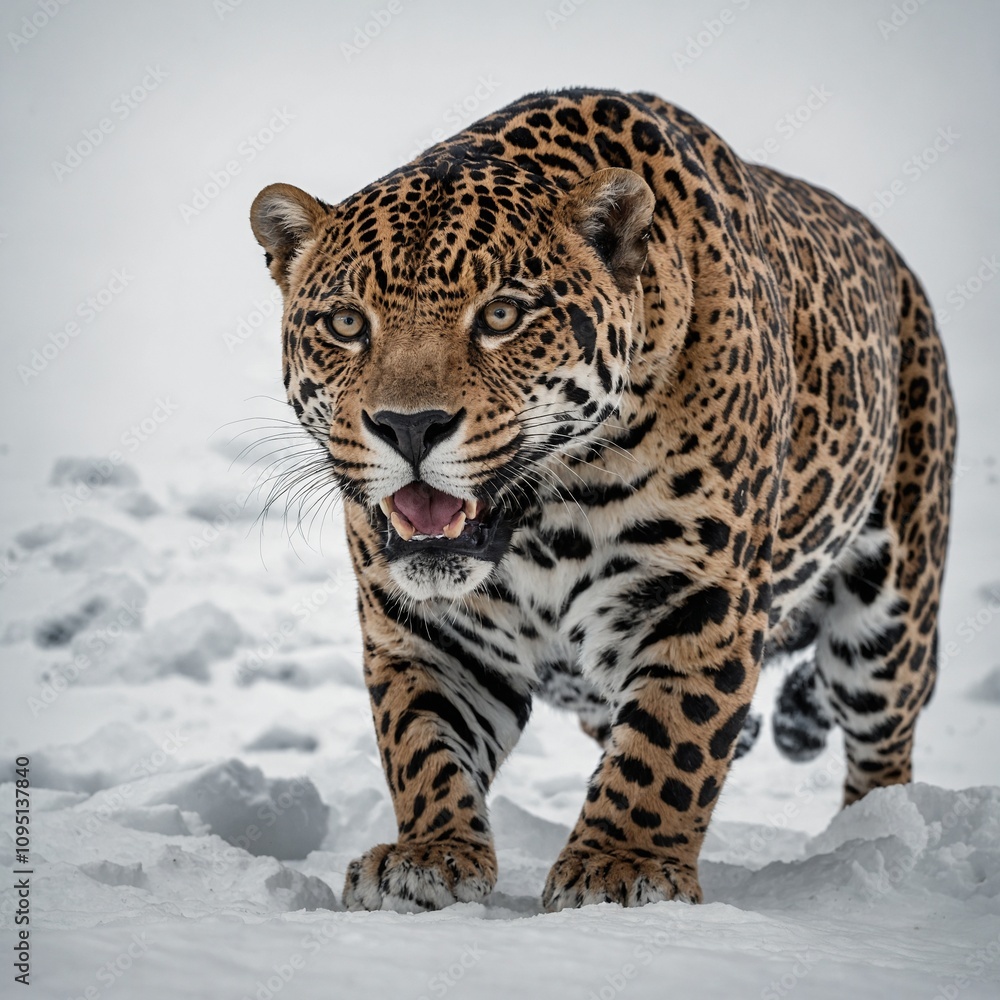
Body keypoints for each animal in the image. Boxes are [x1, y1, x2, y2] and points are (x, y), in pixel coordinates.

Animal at [249, 88, 956, 913]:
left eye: (501, 316)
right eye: (346, 324)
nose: (408, 426)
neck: (547, 520)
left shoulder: (701, 597)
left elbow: (670, 741)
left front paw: (623, 866)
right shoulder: (423, 627)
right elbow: (420, 739)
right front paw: (429, 855)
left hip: (890, 617)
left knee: (883, 749)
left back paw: (873, 843)